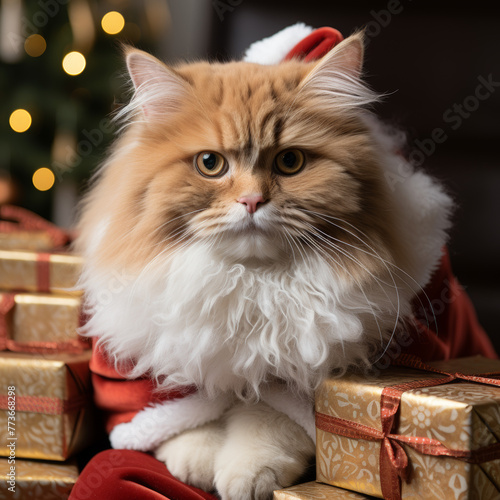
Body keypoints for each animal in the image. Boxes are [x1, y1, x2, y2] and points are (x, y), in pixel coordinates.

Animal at [75, 29, 454, 498]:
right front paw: (195, 463)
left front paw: (245, 475)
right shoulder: (138, 371)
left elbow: (268, 422)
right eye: (210, 163)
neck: (251, 285)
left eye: (290, 162)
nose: (252, 200)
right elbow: (182, 415)